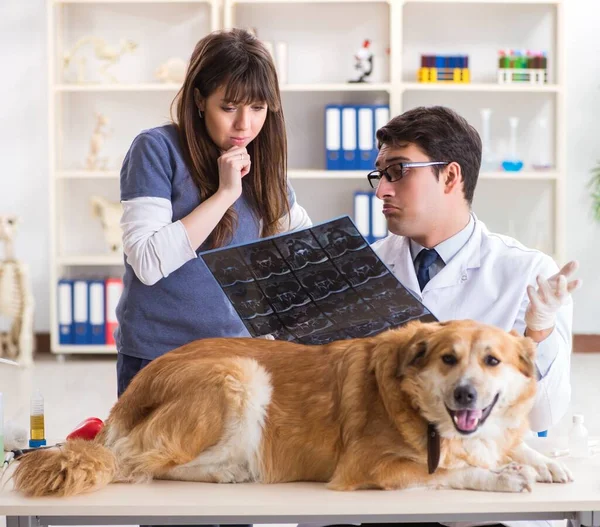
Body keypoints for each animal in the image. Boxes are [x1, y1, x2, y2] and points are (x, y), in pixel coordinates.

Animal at [11, 320, 568, 498]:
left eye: (492, 361)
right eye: (449, 359)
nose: (465, 396)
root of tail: (127, 397)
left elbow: (508, 443)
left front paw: (542, 460)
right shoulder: (366, 468)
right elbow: (446, 471)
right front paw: (502, 477)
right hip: (240, 372)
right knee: (139, 465)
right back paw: (226, 473)